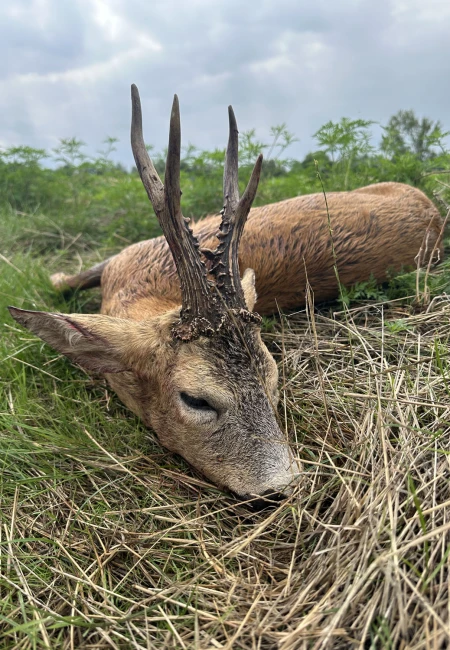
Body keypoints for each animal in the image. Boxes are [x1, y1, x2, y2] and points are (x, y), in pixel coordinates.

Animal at [9, 85, 444, 507]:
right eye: (196, 400)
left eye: (273, 378)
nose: (281, 489)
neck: (139, 290)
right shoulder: (124, 256)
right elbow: (62, 282)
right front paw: (55, 275)